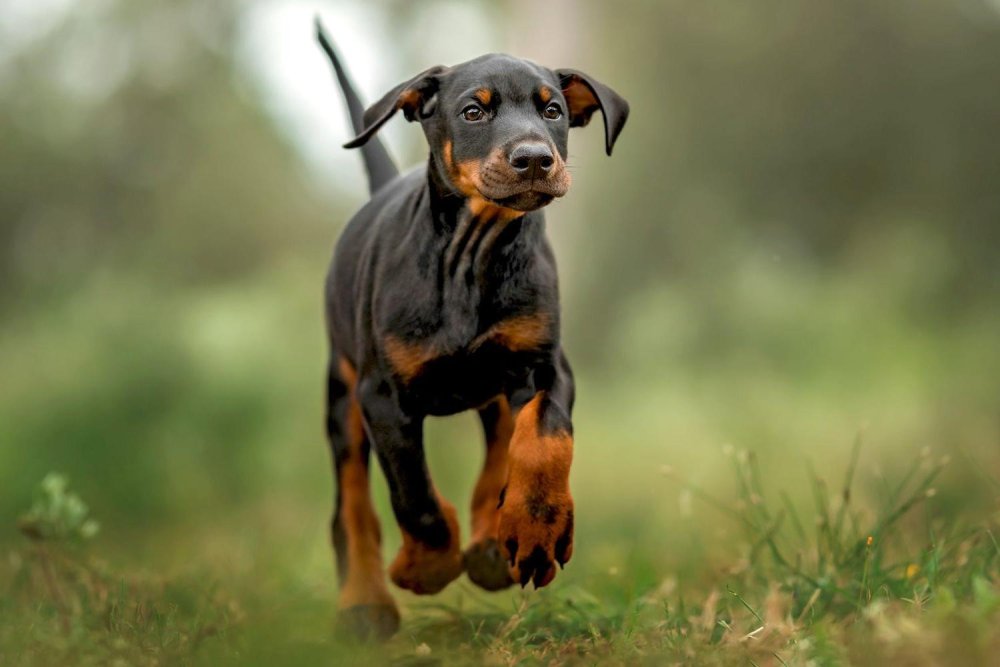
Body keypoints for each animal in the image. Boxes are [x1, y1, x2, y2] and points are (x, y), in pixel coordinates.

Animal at [314, 18, 624, 640]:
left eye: (552, 110)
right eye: (473, 112)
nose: (534, 159)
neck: (473, 254)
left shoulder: (544, 364)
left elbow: (545, 439)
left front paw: (535, 531)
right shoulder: (382, 397)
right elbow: (414, 496)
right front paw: (427, 568)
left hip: (496, 383)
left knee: (503, 442)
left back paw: (490, 545)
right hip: (342, 392)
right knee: (352, 502)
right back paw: (365, 602)